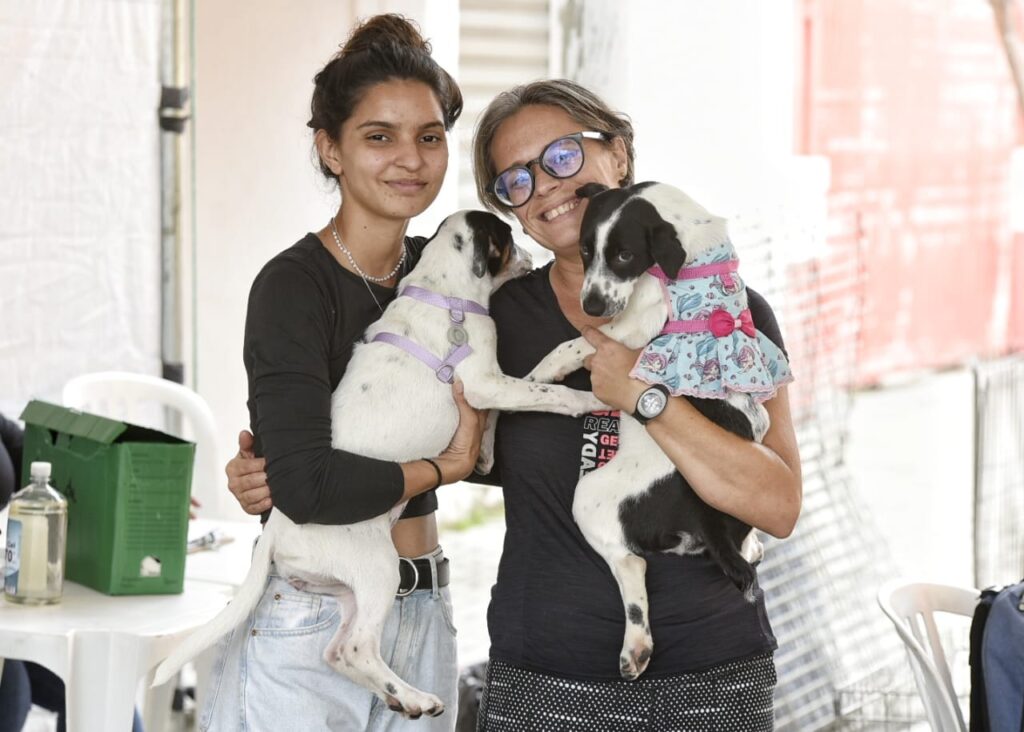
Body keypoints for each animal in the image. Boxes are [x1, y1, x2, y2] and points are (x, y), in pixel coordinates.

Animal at [528, 182, 790, 679]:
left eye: (626, 255)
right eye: (585, 250)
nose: (590, 305)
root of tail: (703, 514)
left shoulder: (634, 324)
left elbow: (580, 341)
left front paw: (543, 371)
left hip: (590, 495)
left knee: (631, 564)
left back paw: (636, 645)